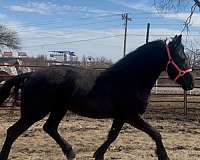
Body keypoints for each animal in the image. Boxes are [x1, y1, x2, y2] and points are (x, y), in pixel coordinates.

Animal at [0, 34, 194, 159]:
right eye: (182, 58)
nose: (191, 83)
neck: (129, 79)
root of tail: (31, 75)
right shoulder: (132, 116)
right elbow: (155, 133)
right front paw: (164, 156)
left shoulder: (121, 116)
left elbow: (112, 136)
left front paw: (98, 154)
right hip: (35, 112)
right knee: (13, 132)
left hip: (58, 109)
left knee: (49, 128)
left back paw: (70, 152)